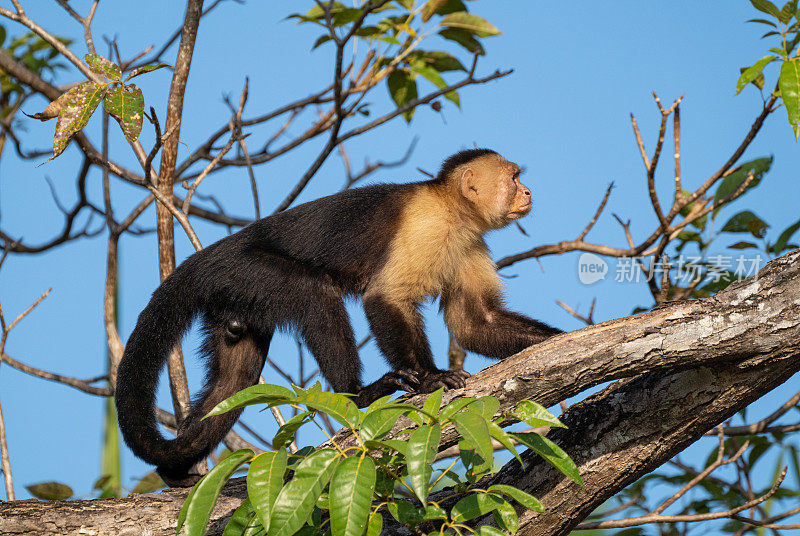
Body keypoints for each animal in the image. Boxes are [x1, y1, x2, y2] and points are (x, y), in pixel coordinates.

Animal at [115, 148, 564, 486]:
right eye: (513, 178)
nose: (527, 191)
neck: (454, 211)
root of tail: (209, 255)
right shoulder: (427, 226)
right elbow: (385, 298)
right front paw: (429, 378)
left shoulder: (471, 242)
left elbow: (476, 324)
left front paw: (560, 341)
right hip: (242, 269)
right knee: (314, 293)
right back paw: (358, 393)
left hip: (235, 296)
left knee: (233, 379)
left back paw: (177, 463)